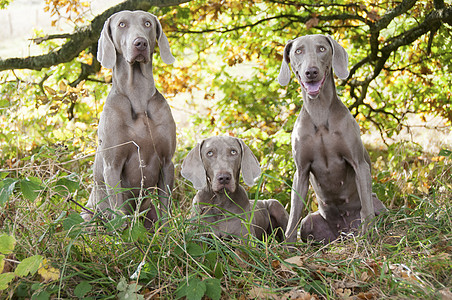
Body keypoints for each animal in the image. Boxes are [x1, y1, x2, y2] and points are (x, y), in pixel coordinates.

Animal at [82, 10, 177, 226]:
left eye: (148, 23)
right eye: (122, 24)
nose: (140, 43)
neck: (138, 97)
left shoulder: (167, 162)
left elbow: (165, 209)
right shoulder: (112, 166)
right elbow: (120, 212)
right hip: (86, 216)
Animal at [278, 35, 386, 245]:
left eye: (321, 49)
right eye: (298, 51)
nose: (311, 72)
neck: (319, 113)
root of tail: (343, 233)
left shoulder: (359, 164)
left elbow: (366, 206)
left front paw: (368, 234)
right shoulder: (301, 171)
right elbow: (293, 213)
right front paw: (286, 245)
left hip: (379, 206)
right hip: (309, 221)